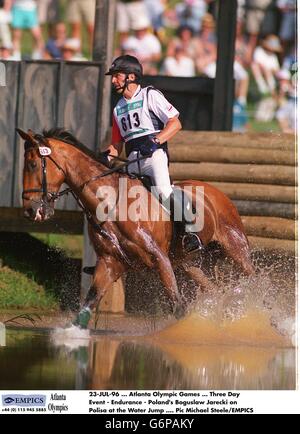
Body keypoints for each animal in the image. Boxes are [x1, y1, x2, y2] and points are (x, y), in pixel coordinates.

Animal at [18, 127, 253, 328]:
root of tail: (217, 192)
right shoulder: (109, 263)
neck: (111, 204)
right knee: (215, 292)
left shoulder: (160, 259)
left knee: (253, 280)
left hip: (237, 250)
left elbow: (177, 306)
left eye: (32, 165)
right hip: (191, 264)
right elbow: (87, 306)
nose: (30, 210)